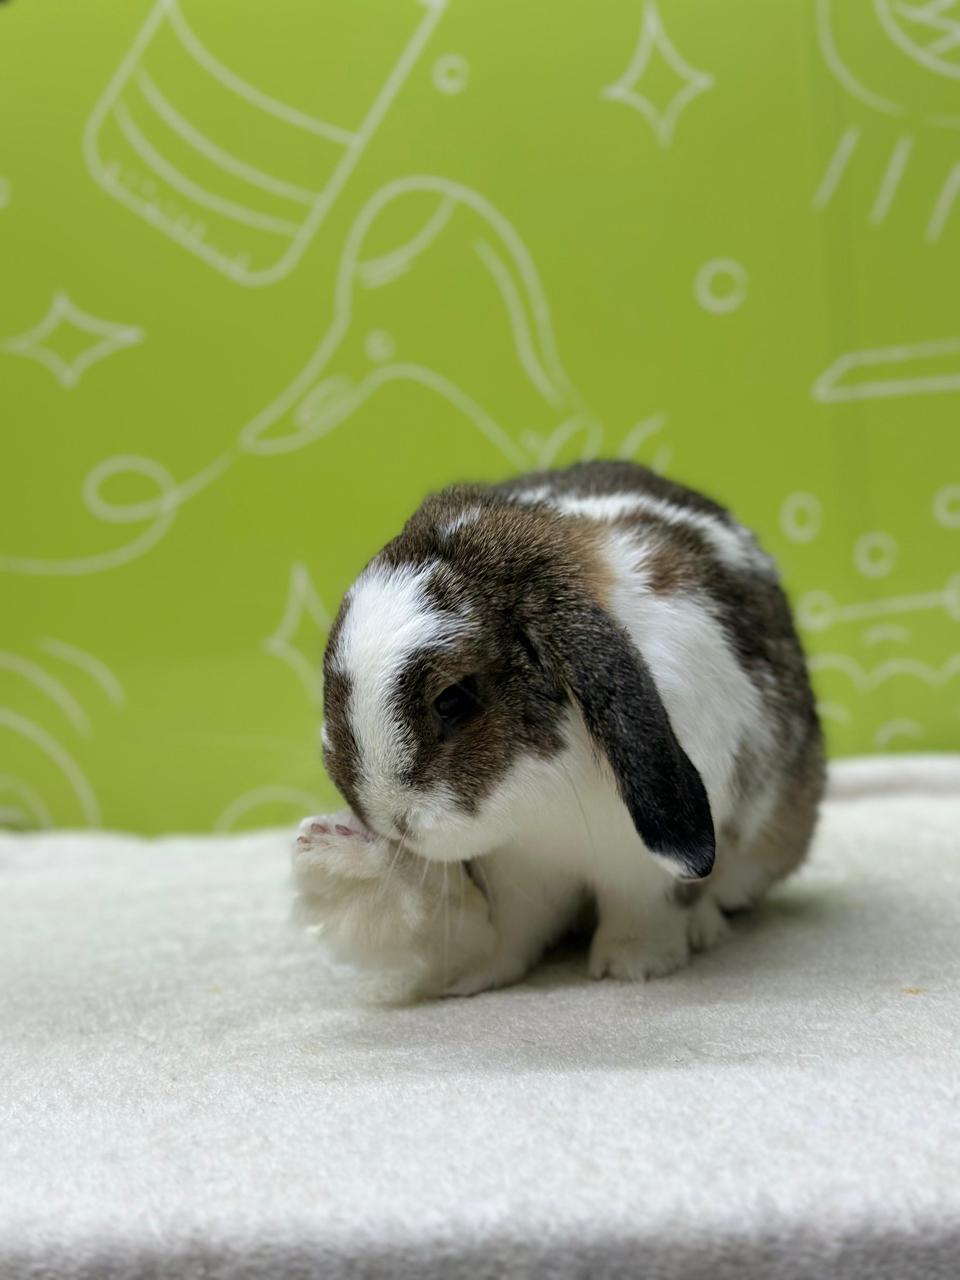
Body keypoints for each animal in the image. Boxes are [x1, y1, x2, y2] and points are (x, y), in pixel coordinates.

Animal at [293, 460, 825, 997]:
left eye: (453, 699)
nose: (386, 819)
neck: (544, 805)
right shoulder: (518, 871)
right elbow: (509, 937)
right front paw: (471, 977)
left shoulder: (642, 870)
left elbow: (644, 911)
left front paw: (634, 965)